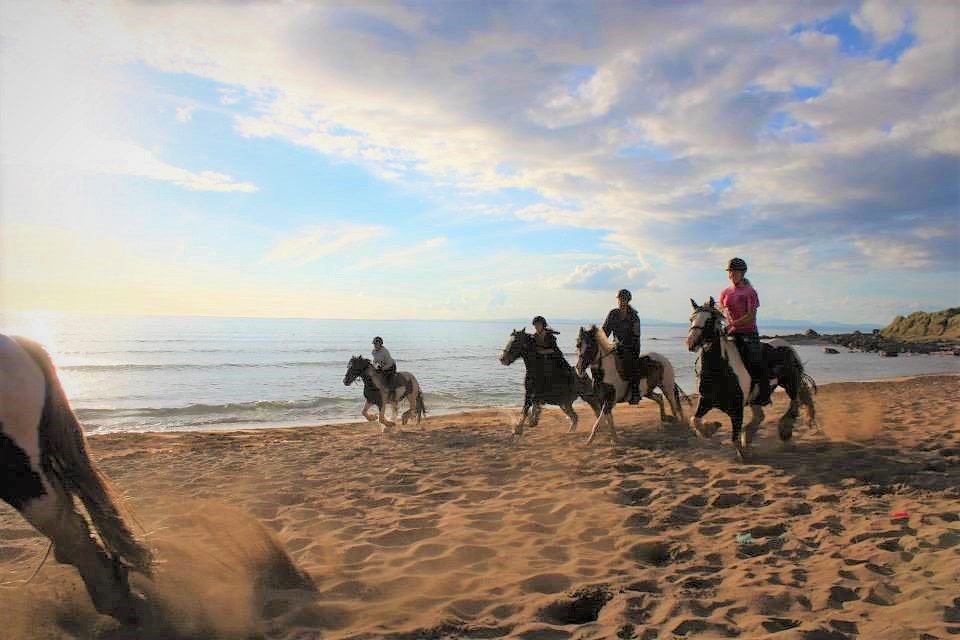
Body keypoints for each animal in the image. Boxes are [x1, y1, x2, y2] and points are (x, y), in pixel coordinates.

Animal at [684, 300, 816, 460]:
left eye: (709, 321)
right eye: (691, 319)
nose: (691, 343)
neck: (720, 371)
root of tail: (788, 347)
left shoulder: (737, 408)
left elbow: (734, 436)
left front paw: (743, 454)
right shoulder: (705, 400)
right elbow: (695, 420)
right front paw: (713, 427)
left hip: (790, 384)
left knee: (794, 404)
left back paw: (785, 432)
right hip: (757, 396)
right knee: (760, 416)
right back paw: (750, 436)